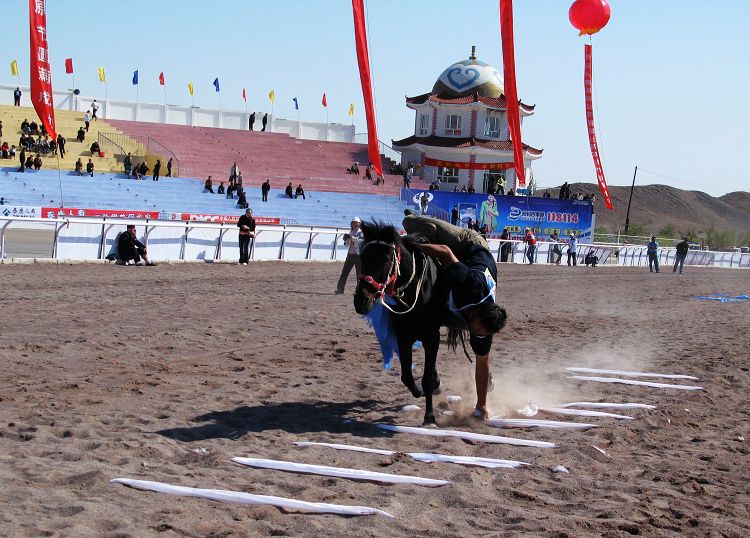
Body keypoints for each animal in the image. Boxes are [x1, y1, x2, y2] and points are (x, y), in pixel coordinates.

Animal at [354, 220, 450, 426]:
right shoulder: (404, 336)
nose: (361, 300)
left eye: (385, 258)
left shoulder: (432, 336)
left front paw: (429, 417)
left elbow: (426, 379)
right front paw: (420, 391)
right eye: (363, 256)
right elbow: (406, 376)